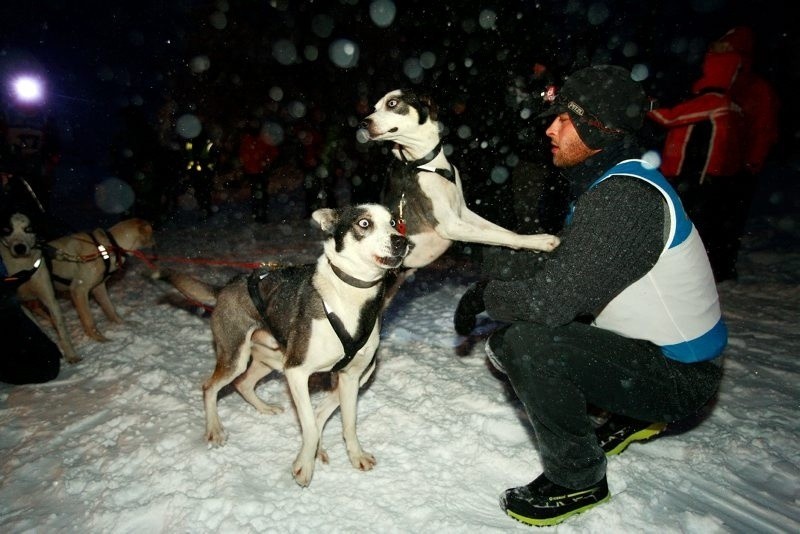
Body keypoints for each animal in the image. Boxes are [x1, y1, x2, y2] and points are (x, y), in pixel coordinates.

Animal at [157, 205, 410, 490]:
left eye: (394, 222)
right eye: (364, 223)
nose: (402, 241)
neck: (348, 298)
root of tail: (224, 288)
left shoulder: (351, 376)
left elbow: (347, 422)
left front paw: (355, 455)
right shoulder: (297, 372)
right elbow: (309, 425)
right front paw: (304, 465)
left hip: (273, 360)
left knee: (244, 384)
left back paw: (265, 409)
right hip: (237, 357)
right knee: (210, 387)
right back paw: (214, 430)